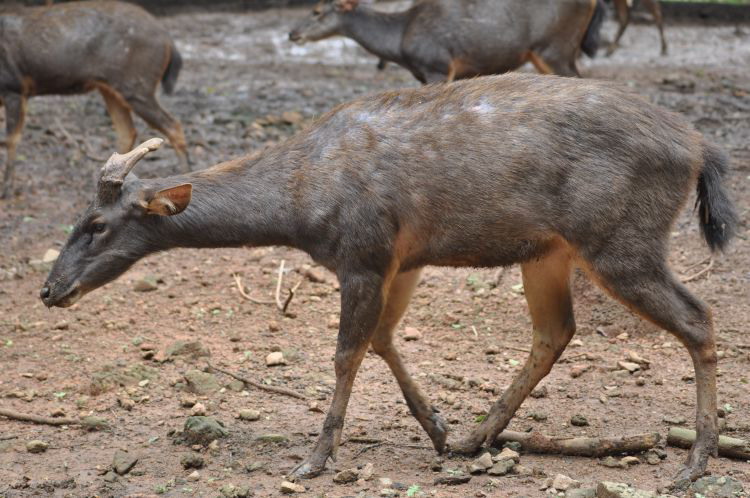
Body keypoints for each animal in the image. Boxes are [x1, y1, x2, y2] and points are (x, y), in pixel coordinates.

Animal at [0, 0, 189, 199]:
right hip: (111, 88)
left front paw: (7, 189)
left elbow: (10, 139)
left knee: (173, 125)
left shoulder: (13, 88)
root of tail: (168, 41)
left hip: (137, 85)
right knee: (128, 131)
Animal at [40, 73, 736, 488]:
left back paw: (696, 459)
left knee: (699, 317)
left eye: (97, 224)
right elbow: (381, 340)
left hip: (620, 239)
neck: (300, 208)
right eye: (76, 219)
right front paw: (438, 429)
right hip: (550, 250)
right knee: (556, 331)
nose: (49, 290)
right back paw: (479, 435)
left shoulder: (363, 251)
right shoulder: (404, 259)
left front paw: (314, 459)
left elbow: (347, 351)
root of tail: (701, 148)